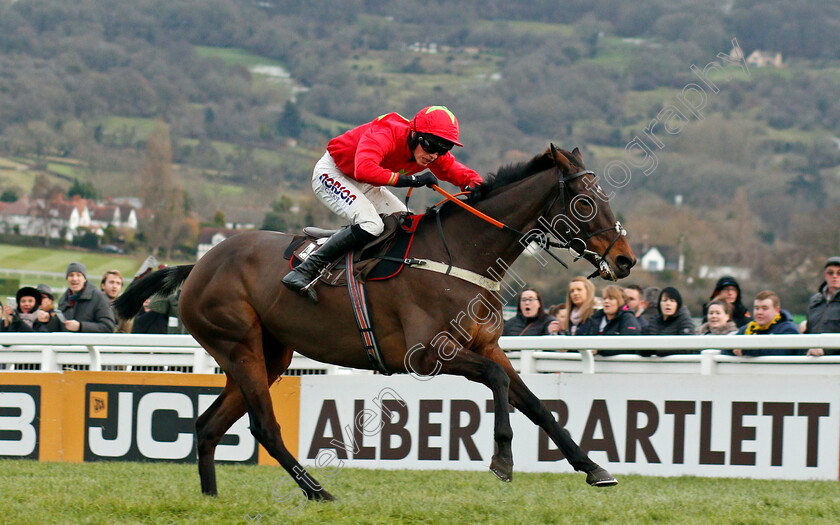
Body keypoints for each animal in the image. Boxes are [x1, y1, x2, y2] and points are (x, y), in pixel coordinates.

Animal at [113, 144, 636, 500]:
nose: (626, 260)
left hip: (269, 354)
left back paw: (212, 497)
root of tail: (199, 264)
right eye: (586, 200)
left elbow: (537, 405)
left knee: (207, 425)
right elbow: (498, 384)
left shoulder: (487, 346)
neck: (462, 255)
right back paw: (318, 491)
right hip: (238, 345)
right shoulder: (428, 355)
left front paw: (593, 468)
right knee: (264, 427)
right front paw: (503, 459)